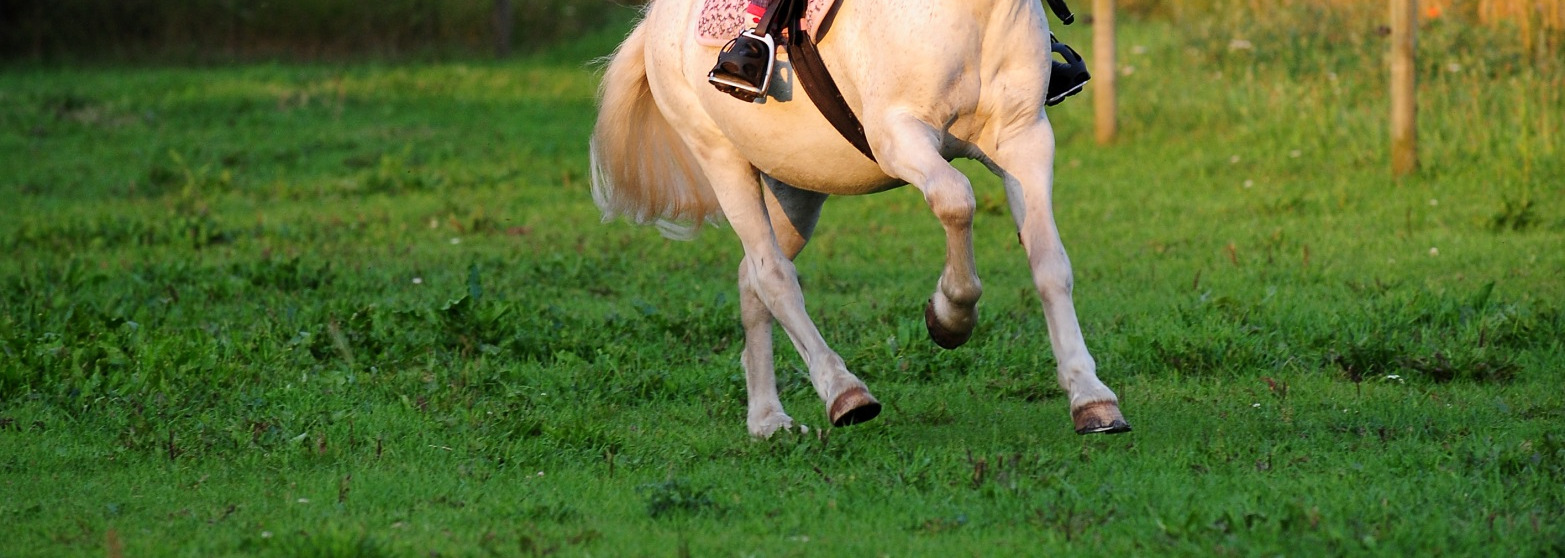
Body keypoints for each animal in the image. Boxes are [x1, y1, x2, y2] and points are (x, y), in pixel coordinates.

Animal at [588, 0, 1126, 437]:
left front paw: (1090, 396)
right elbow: (957, 200)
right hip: (722, 159)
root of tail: (655, 21)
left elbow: (1050, 264)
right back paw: (844, 392)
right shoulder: (898, 136)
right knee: (772, 274)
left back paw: (768, 420)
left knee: (751, 278)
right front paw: (950, 317)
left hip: (797, 187)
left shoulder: (1025, 140)